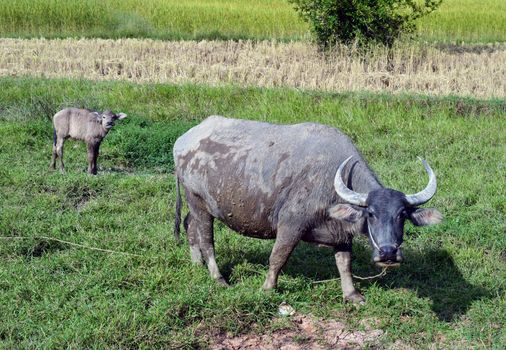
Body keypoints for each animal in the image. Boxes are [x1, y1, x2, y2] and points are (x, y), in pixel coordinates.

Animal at [172, 116, 440, 302]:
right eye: (371, 214)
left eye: (402, 215)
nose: (388, 254)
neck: (332, 179)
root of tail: (183, 141)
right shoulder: (291, 225)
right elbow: (278, 257)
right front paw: (267, 288)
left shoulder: (341, 233)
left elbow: (345, 263)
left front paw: (352, 295)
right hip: (198, 202)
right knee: (206, 239)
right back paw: (218, 278)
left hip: (195, 204)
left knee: (189, 225)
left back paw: (196, 264)